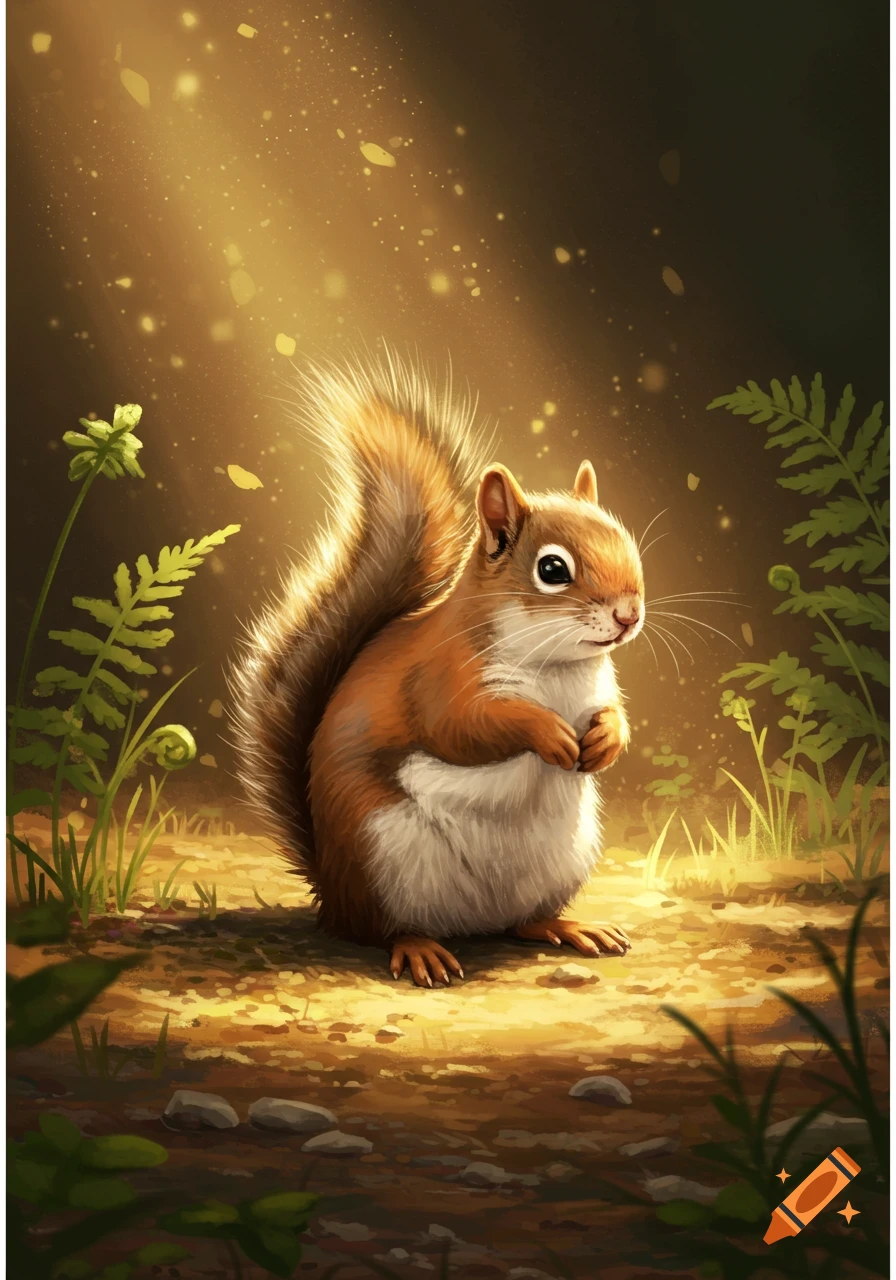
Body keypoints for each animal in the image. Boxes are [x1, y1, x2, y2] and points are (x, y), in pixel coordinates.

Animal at [231, 351, 644, 987]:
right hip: (381, 855)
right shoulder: (439, 678)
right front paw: (546, 732)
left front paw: (606, 739)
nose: (629, 615)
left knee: (524, 921)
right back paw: (420, 948)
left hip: (563, 860)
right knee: (382, 929)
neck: (557, 666)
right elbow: (463, 728)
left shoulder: (599, 686)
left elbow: (614, 713)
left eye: (626, 540)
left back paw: (567, 925)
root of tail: (331, 894)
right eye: (553, 569)